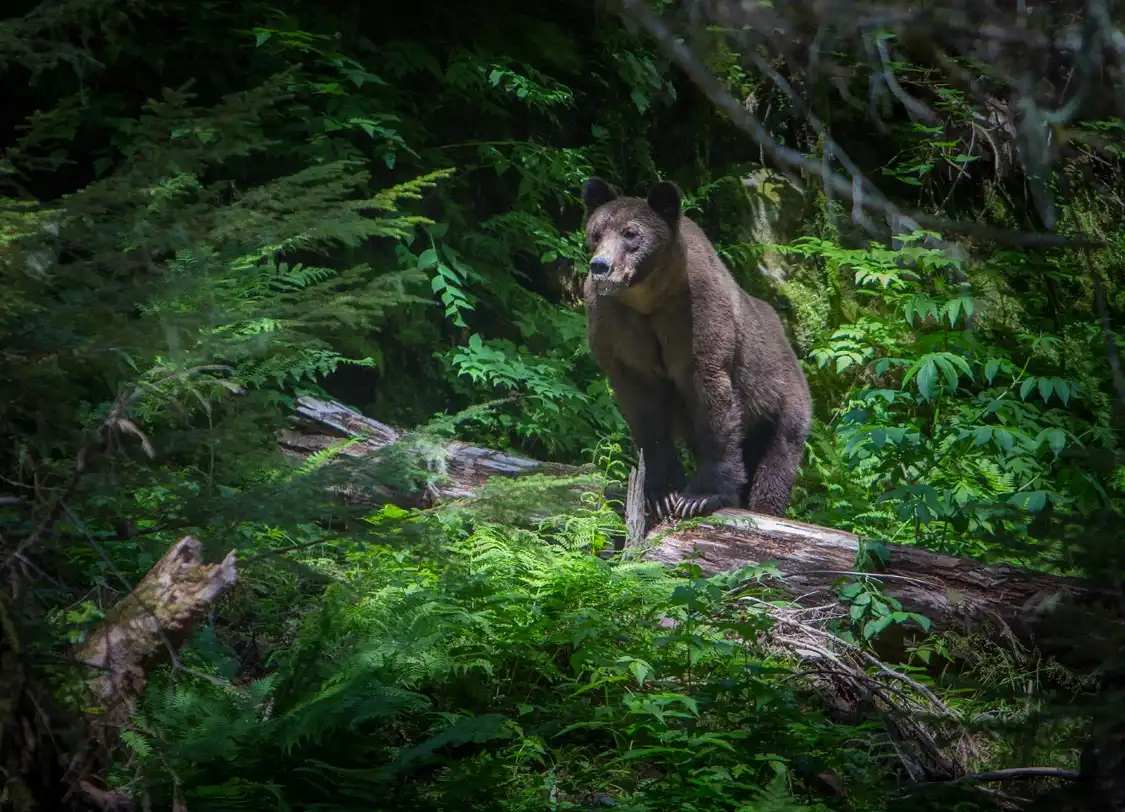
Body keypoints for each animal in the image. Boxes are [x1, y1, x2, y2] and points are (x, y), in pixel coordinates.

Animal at [580, 176, 813, 523]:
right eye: (595, 233)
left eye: (631, 233)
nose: (601, 266)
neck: (648, 299)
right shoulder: (618, 331)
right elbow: (645, 415)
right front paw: (662, 493)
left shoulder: (695, 316)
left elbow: (713, 403)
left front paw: (699, 497)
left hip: (781, 397)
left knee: (777, 461)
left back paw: (765, 507)